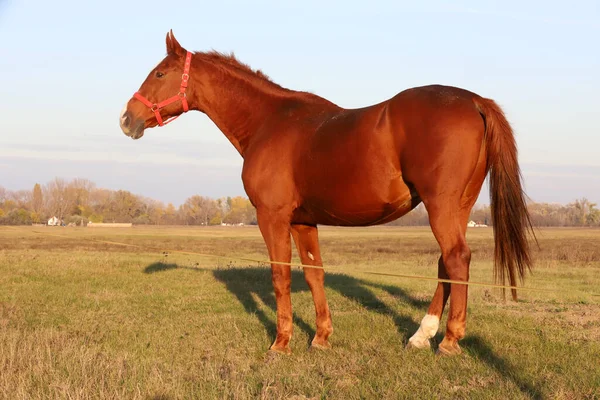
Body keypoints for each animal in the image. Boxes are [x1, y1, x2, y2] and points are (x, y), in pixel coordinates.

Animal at [119, 31, 532, 356]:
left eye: (160, 73)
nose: (127, 119)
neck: (270, 122)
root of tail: (474, 101)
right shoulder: (304, 222)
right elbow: (314, 273)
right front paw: (320, 337)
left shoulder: (272, 217)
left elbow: (280, 276)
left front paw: (281, 343)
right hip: (457, 206)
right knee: (447, 263)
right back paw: (421, 335)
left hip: (441, 205)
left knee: (457, 259)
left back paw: (448, 340)